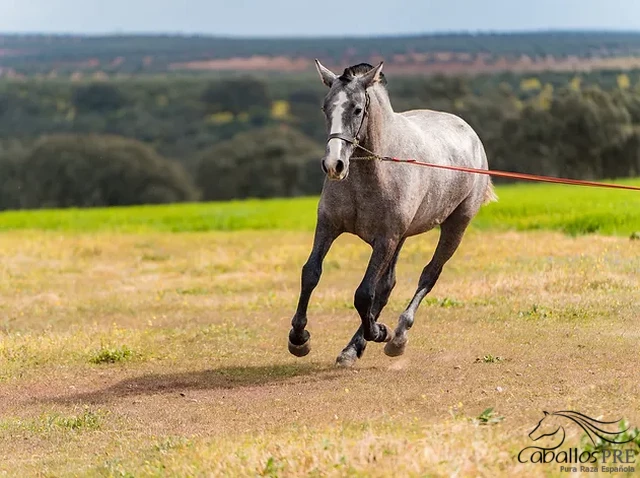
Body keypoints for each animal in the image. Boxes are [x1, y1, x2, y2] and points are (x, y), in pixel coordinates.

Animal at [288, 59, 498, 366]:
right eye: (326, 107)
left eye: (357, 109)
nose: (334, 165)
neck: (373, 171)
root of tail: (470, 134)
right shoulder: (328, 226)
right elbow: (311, 274)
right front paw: (299, 338)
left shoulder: (385, 239)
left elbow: (364, 294)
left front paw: (379, 332)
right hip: (402, 238)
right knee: (387, 285)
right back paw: (354, 347)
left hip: (454, 227)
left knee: (429, 275)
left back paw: (396, 337)